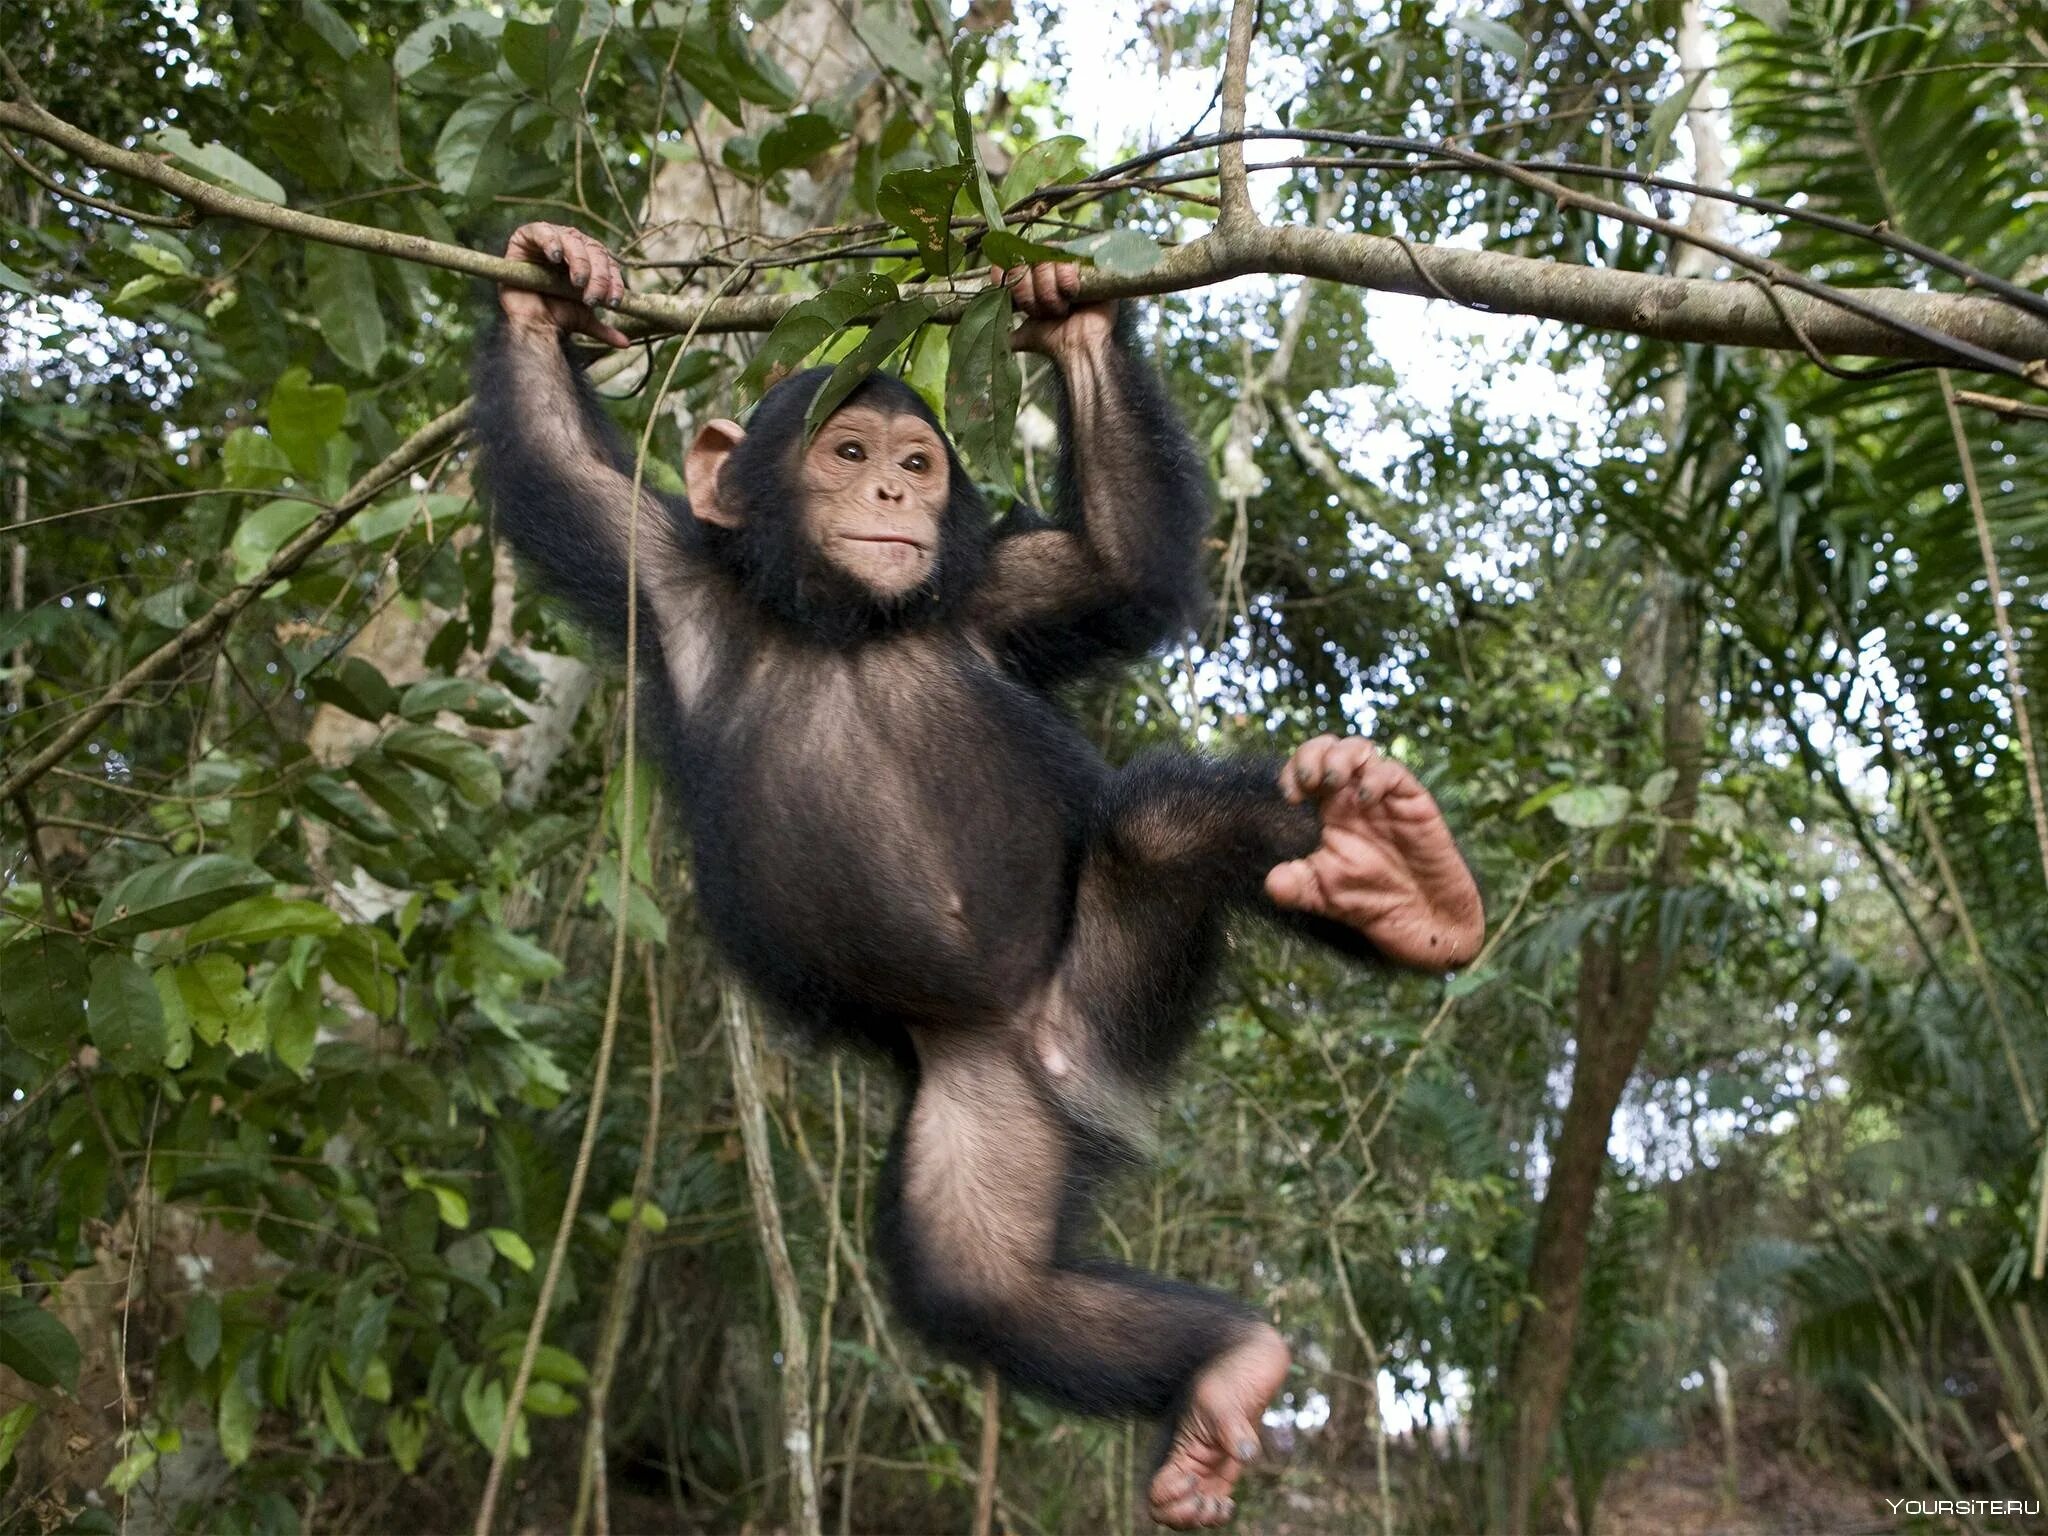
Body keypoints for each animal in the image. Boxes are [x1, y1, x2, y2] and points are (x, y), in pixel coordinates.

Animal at [471, 222, 1482, 1531]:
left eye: (915, 460)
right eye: (846, 452)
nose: (894, 493)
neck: (845, 620)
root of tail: (1070, 1059)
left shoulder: (997, 592)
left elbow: (1115, 565)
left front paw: (1071, 319)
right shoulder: (661, 578)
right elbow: (565, 473)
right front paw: (552, 281)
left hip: (1109, 979)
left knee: (1158, 830)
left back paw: (1400, 883)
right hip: (983, 1108)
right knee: (982, 1286)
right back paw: (1223, 1372)